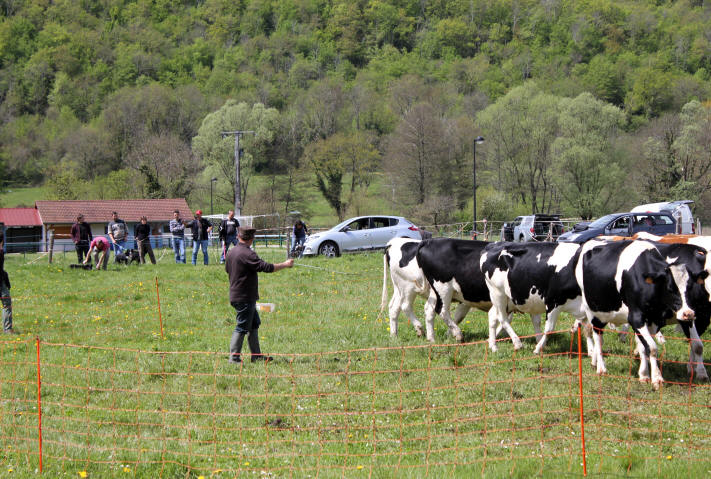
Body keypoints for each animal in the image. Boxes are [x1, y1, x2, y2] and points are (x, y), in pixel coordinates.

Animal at [576, 240, 700, 390]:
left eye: (691, 287)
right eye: (670, 288)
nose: (688, 314)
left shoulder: (653, 320)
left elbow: (644, 346)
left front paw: (644, 375)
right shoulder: (636, 318)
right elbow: (652, 347)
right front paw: (657, 379)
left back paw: (595, 362)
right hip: (593, 312)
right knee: (597, 338)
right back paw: (601, 368)